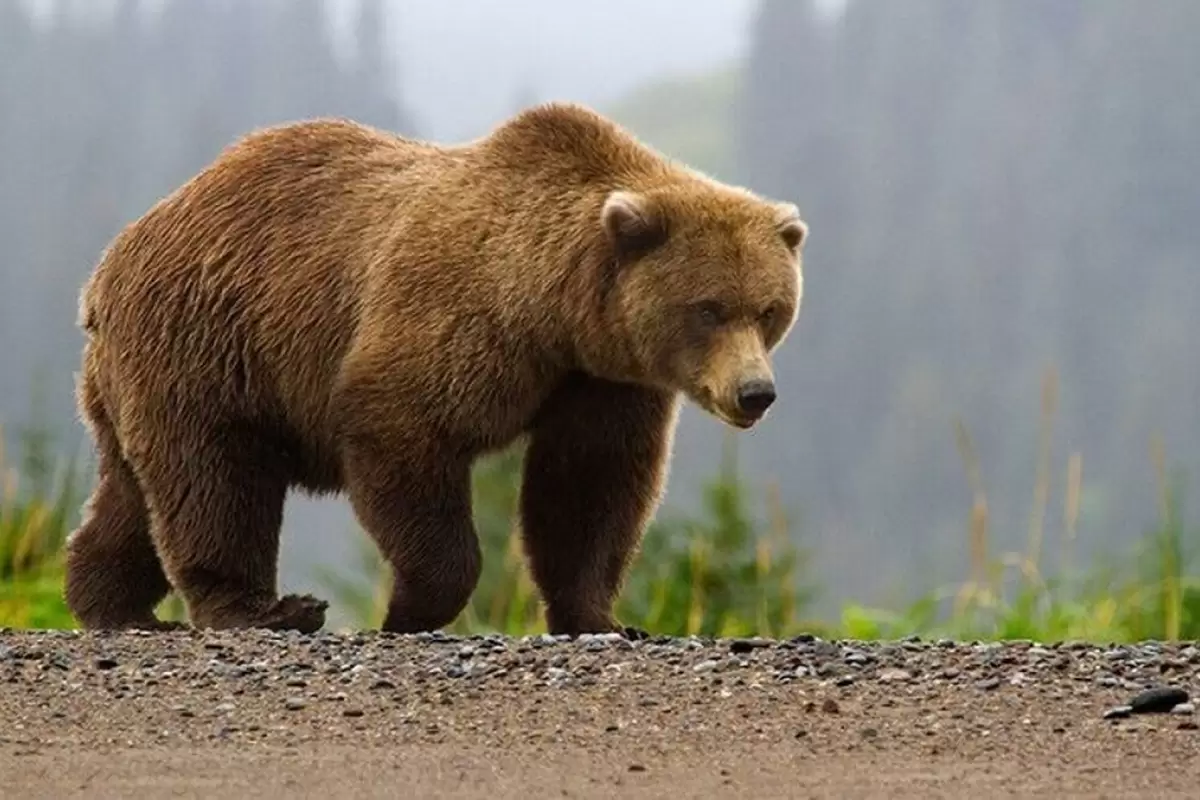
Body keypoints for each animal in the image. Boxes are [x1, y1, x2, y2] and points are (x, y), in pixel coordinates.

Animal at [60, 101, 811, 638]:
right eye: (709, 308)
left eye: (770, 309)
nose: (756, 392)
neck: (554, 309)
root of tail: (109, 264)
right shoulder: (456, 317)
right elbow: (402, 429)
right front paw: (409, 609)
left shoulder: (601, 380)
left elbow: (589, 488)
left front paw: (603, 618)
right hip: (210, 341)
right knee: (215, 479)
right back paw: (265, 610)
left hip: (144, 373)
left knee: (135, 491)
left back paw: (110, 603)